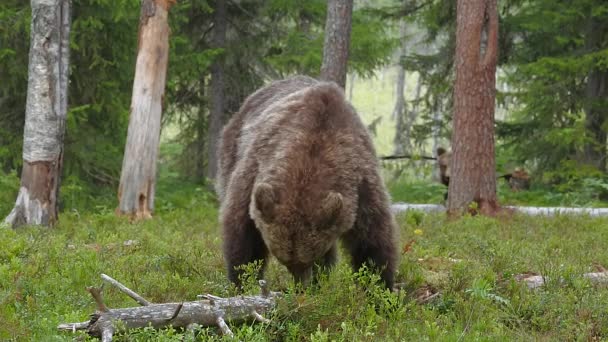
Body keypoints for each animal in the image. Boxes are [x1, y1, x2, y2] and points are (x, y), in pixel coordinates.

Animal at [217, 75, 400, 288]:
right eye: (285, 260)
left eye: (308, 259)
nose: (300, 285)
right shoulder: (254, 168)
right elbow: (242, 229)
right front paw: (243, 280)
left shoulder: (361, 181)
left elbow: (373, 239)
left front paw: (379, 285)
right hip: (231, 149)